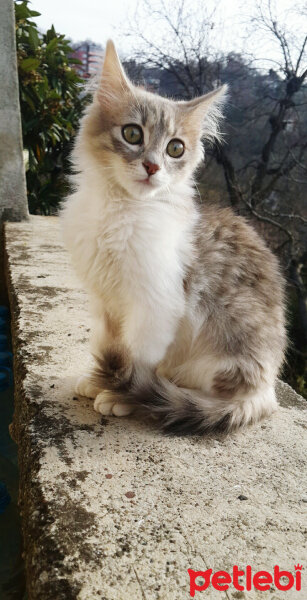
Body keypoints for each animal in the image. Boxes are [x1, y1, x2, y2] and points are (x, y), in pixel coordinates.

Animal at [61, 41, 288, 436]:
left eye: (175, 149)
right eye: (132, 134)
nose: (152, 166)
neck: (119, 210)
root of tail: (268, 389)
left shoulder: (156, 304)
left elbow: (137, 356)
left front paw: (120, 393)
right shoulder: (106, 302)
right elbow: (109, 342)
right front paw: (99, 378)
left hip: (223, 354)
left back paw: (160, 392)